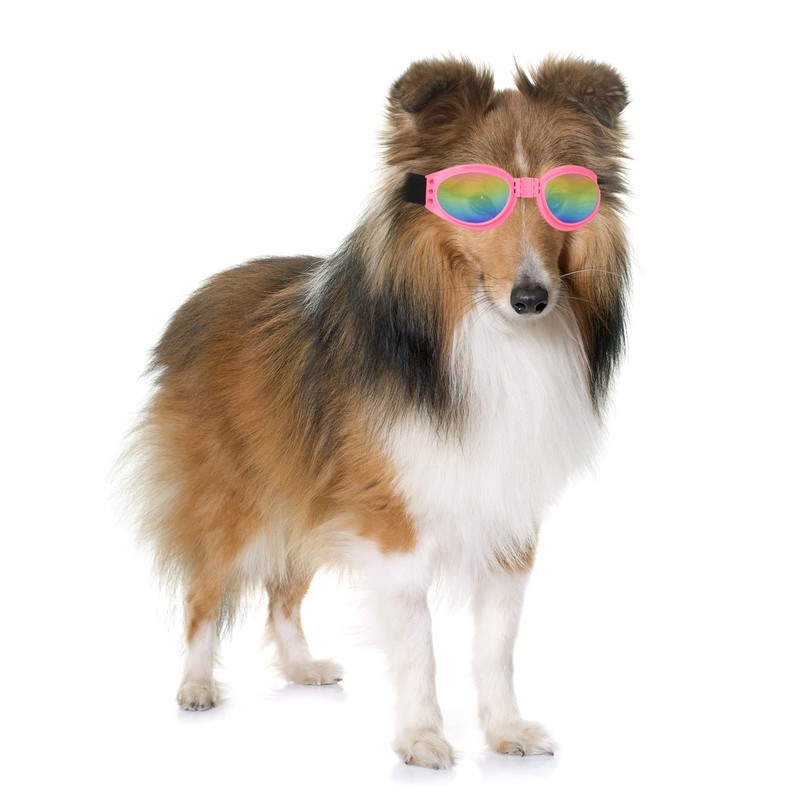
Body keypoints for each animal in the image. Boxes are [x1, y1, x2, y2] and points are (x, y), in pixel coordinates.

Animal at [129, 56, 630, 769]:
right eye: (477, 201)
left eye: (565, 200)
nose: (532, 298)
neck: (479, 333)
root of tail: (199, 299)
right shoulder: (393, 521)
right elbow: (418, 643)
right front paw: (421, 737)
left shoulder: (509, 515)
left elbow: (497, 643)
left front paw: (506, 731)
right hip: (236, 502)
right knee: (204, 593)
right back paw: (197, 686)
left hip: (308, 494)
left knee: (282, 593)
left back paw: (302, 668)